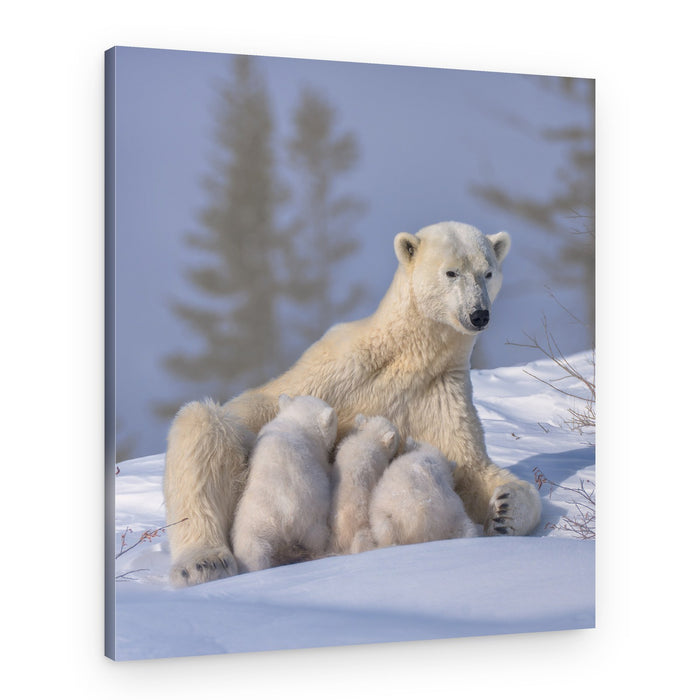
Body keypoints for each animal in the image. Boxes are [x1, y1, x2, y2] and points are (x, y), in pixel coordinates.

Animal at [231, 395, 337, 573]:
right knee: (317, 538)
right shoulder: (318, 453)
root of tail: (286, 517)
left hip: (254, 524)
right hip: (310, 516)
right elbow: (325, 466)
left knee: (252, 552)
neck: (296, 422)